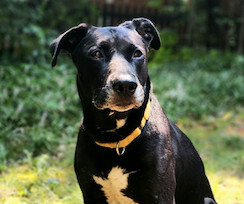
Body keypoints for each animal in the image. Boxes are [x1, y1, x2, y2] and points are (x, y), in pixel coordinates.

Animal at [50, 17, 216, 204]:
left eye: (137, 53)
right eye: (96, 54)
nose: (125, 85)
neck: (115, 138)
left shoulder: (160, 194)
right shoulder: (91, 194)